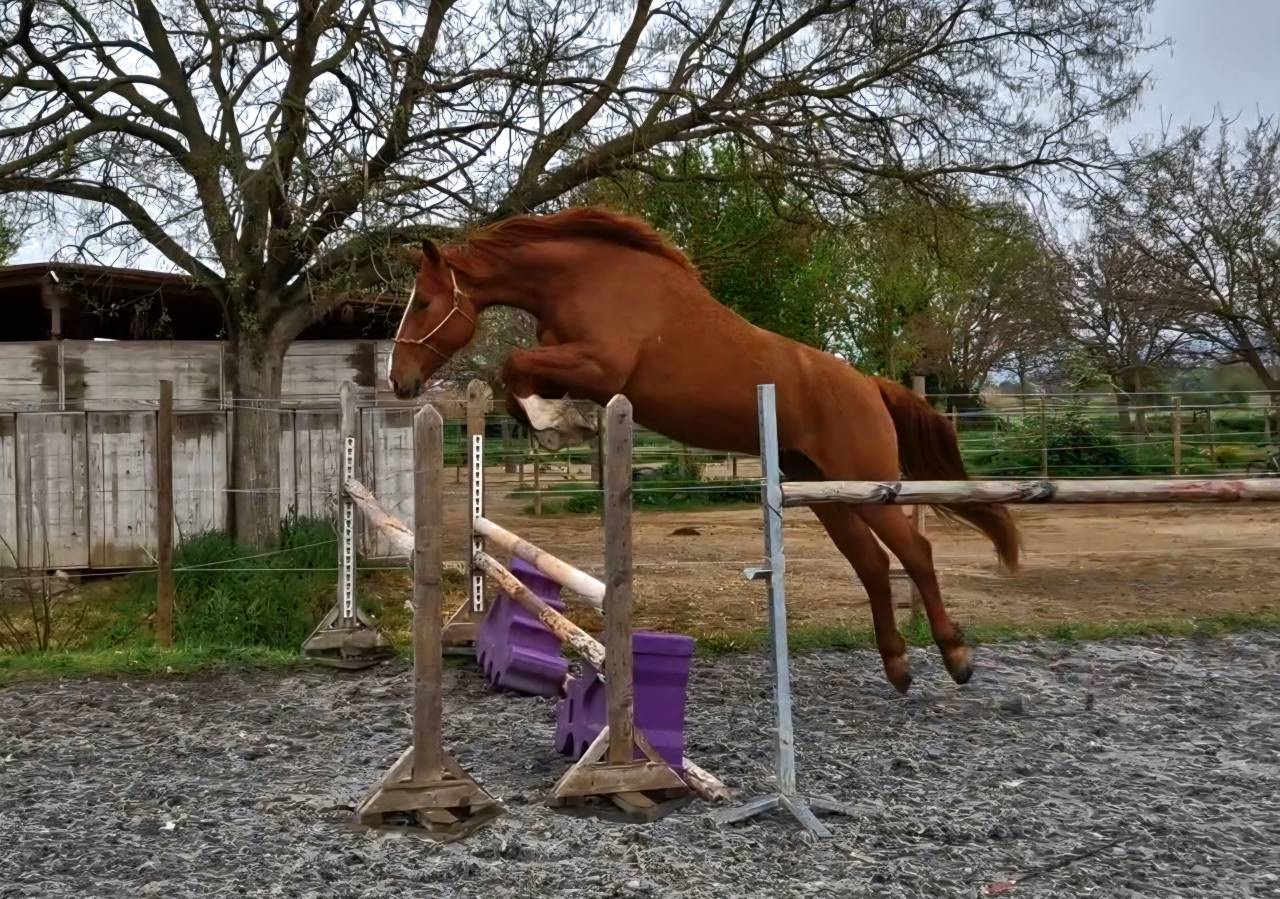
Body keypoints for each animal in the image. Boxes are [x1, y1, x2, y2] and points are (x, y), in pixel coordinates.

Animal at [387, 206, 1020, 693]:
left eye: (423, 303)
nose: (400, 380)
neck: (584, 278)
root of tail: (869, 385)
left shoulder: (600, 364)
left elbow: (511, 365)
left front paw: (560, 426)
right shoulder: (572, 365)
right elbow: (516, 380)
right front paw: (563, 425)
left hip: (866, 481)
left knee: (915, 553)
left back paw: (956, 657)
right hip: (822, 490)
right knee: (871, 563)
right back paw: (896, 665)